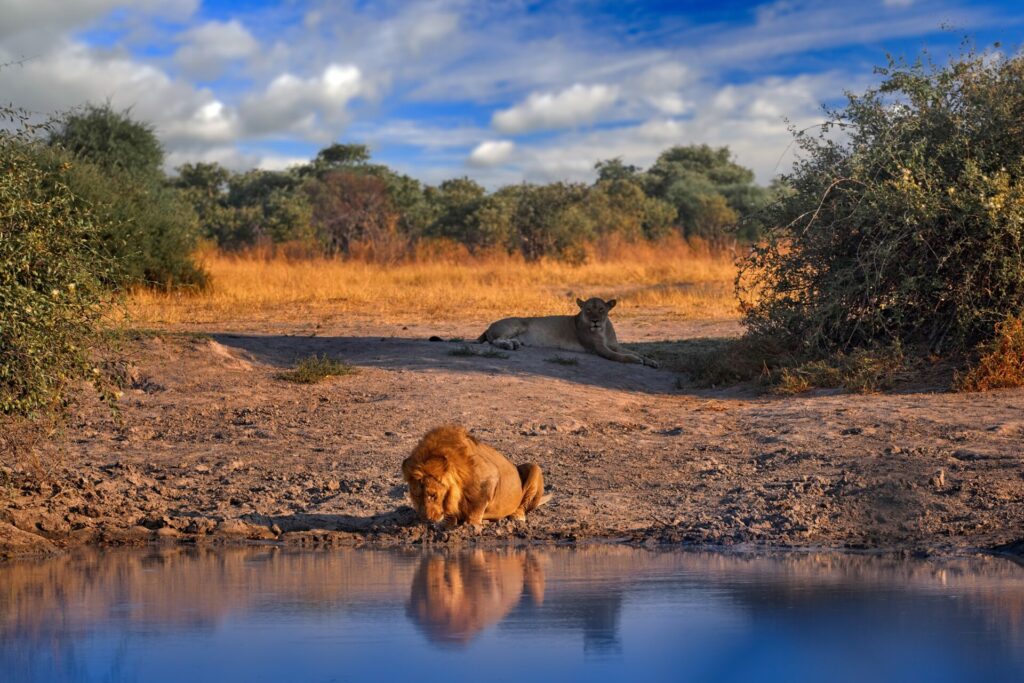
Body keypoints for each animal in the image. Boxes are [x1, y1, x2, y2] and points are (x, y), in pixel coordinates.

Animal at [399, 423, 548, 528]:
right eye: (416, 495)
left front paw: (472, 525)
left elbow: (476, 507)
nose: (426, 519)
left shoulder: (490, 477)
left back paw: (517, 516)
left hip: (535, 467)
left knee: (522, 506)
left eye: (433, 495)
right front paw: (448, 523)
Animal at [477, 296, 659, 366]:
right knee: (494, 341)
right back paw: (509, 345)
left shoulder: (615, 345)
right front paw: (635, 360)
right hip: (518, 324)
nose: (594, 321)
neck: (603, 329)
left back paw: (514, 343)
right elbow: (618, 356)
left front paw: (652, 361)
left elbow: (635, 352)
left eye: (601, 310)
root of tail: (489, 326)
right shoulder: (598, 348)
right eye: (587, 310)